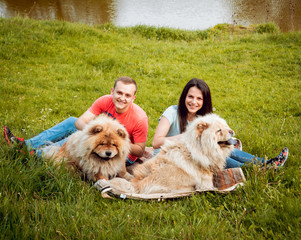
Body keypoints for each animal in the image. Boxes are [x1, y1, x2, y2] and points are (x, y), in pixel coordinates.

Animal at [106, 113, 237, 194]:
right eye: (218, 131)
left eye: (225, 126)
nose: (231, 131)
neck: (201, 147)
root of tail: (137, 186)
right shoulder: (204, 179)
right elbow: (208, 186)